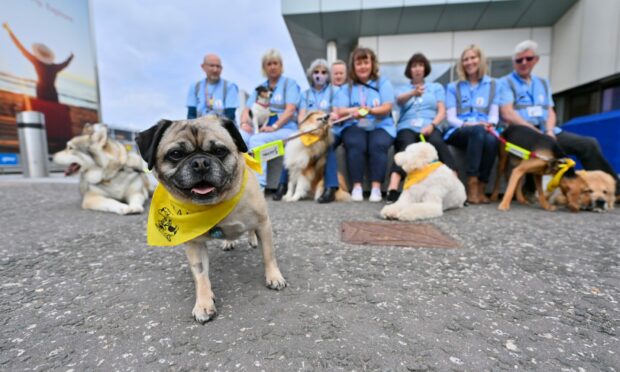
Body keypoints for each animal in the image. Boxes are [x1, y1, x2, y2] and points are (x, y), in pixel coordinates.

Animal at [136, 115, 286, 322]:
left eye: (219, 151)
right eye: (176, 154)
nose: (200, 162)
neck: (213, 205)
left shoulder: (263, 224)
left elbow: (269, 255)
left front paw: (274, 277)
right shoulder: (194, 245)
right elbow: (200, 276)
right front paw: (204, 303)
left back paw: (252, 240)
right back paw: (228, 242)